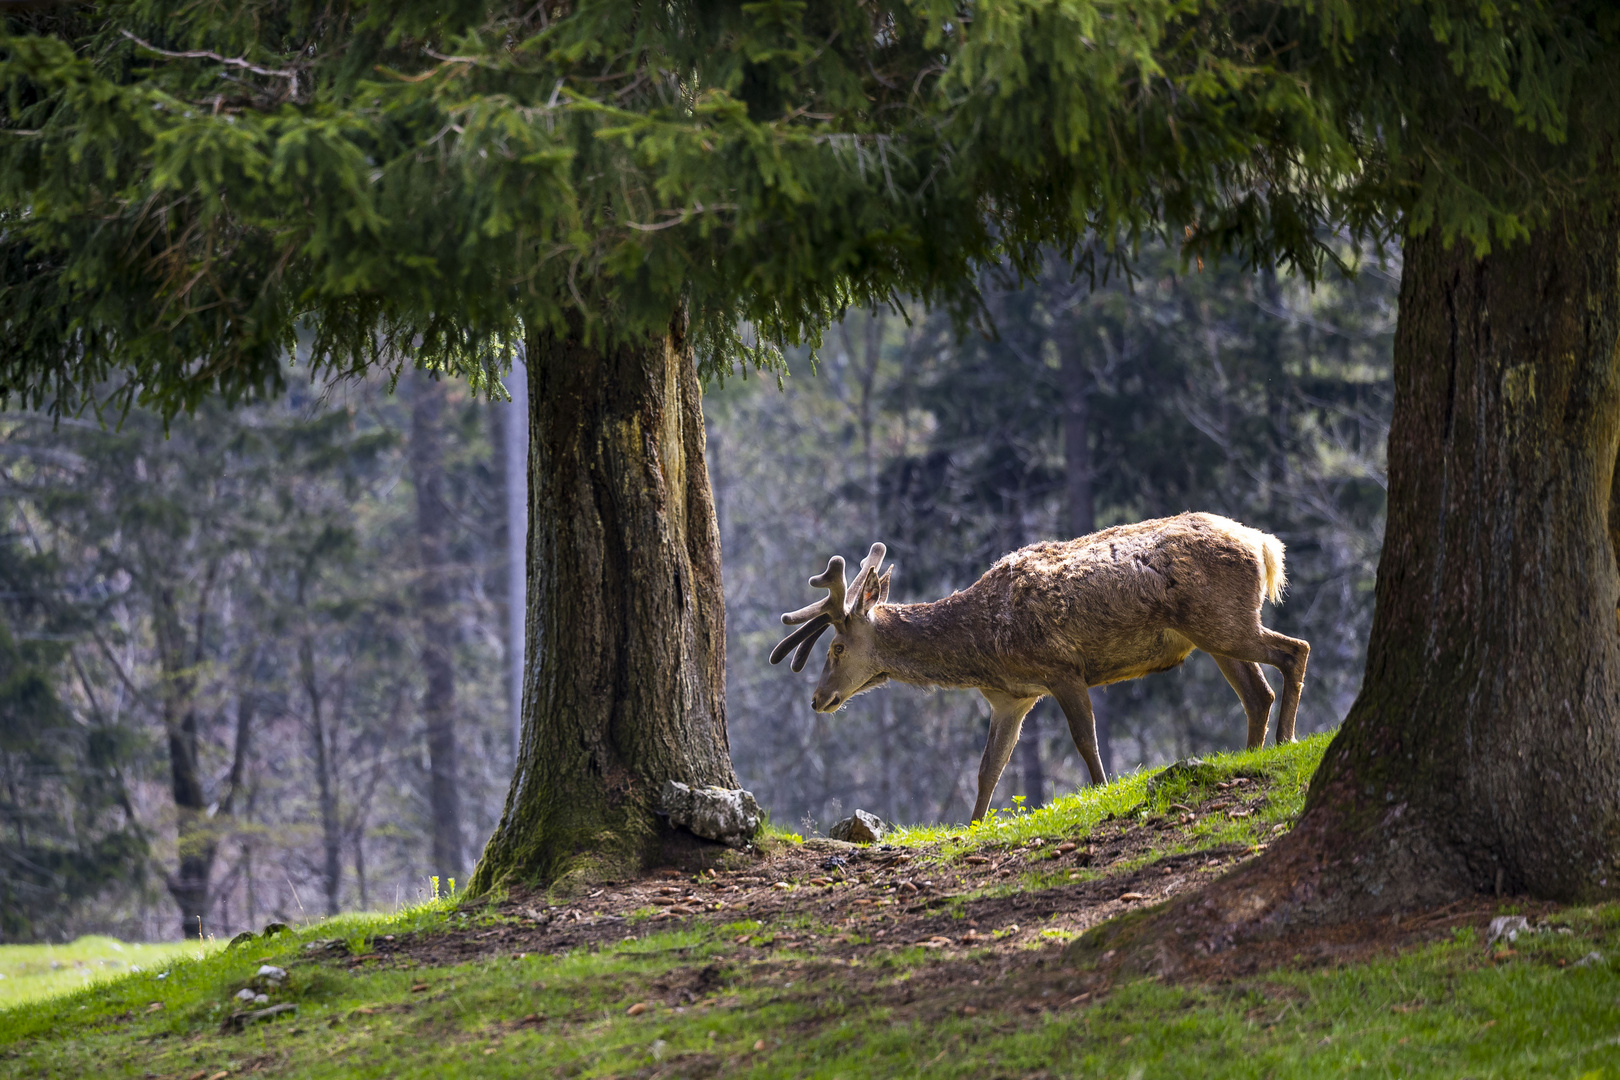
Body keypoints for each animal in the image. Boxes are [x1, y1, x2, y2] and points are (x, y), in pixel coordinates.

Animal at [764, 511, 1308, 822]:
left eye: (836, 648)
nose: (818, 699)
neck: (981, 649)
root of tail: (1264, 546)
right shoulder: (1012, 698)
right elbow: (989, 769)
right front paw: (972, 826)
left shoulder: (1061, 668)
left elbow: (1086, 740)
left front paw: (1102, 792)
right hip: (1214, 633)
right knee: (1258, 693)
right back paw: (1252, 754)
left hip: (1223, 621)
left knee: (1295, 649)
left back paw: (1285, 742)